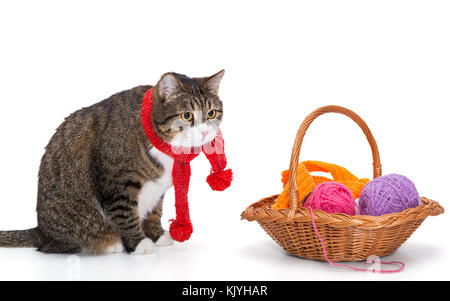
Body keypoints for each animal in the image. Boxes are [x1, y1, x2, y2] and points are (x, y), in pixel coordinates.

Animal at [0, 69, 225, 253]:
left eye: (211, 113)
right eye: (187, 116)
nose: (204, 131)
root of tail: (41, 230)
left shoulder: (157, 190)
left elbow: (155, 212)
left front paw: (157, 235)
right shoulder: (118, 181)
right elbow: (125, 213)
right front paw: (139, 243)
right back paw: (110, 244)